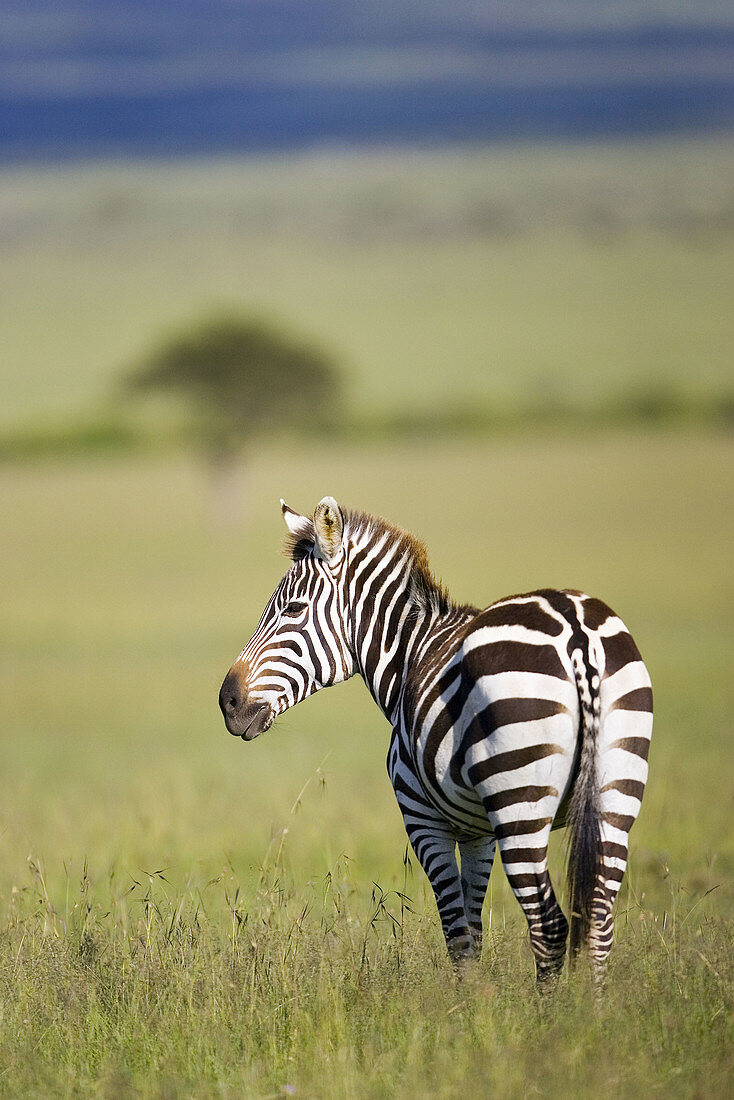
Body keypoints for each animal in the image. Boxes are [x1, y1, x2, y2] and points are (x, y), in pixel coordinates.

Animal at [220, 499, 655, 990]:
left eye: (293, 609)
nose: (227, 702)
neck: (409, 655)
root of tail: (576, 628)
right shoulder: (478, 831)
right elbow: (474, 929)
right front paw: (479, 1002)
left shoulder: (423, 818)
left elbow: (457, 936)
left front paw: (467, 1008)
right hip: (615, 792)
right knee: (598, 921)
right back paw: (591, 1011)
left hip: (519, 807)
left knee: (549, 926)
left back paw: (556, 1013)